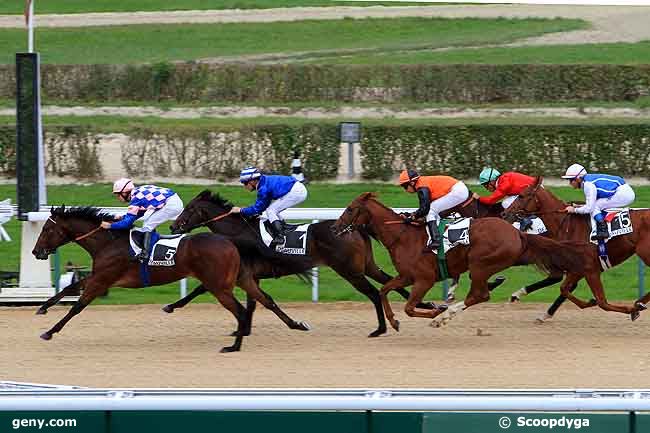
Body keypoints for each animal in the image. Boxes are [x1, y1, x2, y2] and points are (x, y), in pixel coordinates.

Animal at [30, 205, 304, 352]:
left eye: (47, 229)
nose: (36, 252)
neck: (108, 242)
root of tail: (230, 241)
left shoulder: (102, 280)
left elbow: (77, 306)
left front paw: (50, 332)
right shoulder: (100, 277)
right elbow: (69, 288)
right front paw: (43, 308)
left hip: (219, 286)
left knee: (240, 310)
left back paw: (234, 346)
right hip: (239, 279)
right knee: (264, 301)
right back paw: (295, 324)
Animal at [167, 190, 432, 338]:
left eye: (189, 209)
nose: (172, 226)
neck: (238, 232)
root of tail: (353, 228)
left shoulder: (239, 272)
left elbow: (202, 288)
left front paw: (172, 305)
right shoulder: (250, 275)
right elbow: (257, 302)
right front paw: (244, 329)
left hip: (348, 270)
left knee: (376, 293)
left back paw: (381, 328)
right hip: (365, 266)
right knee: (389, 281)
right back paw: (426, 304)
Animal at [332, 192, 584, 328]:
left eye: (351, 209)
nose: (334, 227)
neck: (403, 237)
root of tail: (516, 232)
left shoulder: (424, 279)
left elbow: (410, 307)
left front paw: (436, 311)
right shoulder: (406, 276)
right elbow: (385, 291)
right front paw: (394, 322)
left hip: (479, 264)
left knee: (480, 294)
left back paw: (444, 316)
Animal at [502, 177, 648, 318]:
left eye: (521, 196)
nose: (504, 214)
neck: (566, 225)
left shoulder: (587, 269)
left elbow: (601, 302)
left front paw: (631, 310)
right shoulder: (576, 269)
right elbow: (564, 288)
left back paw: (638, 304)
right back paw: (639, 303)